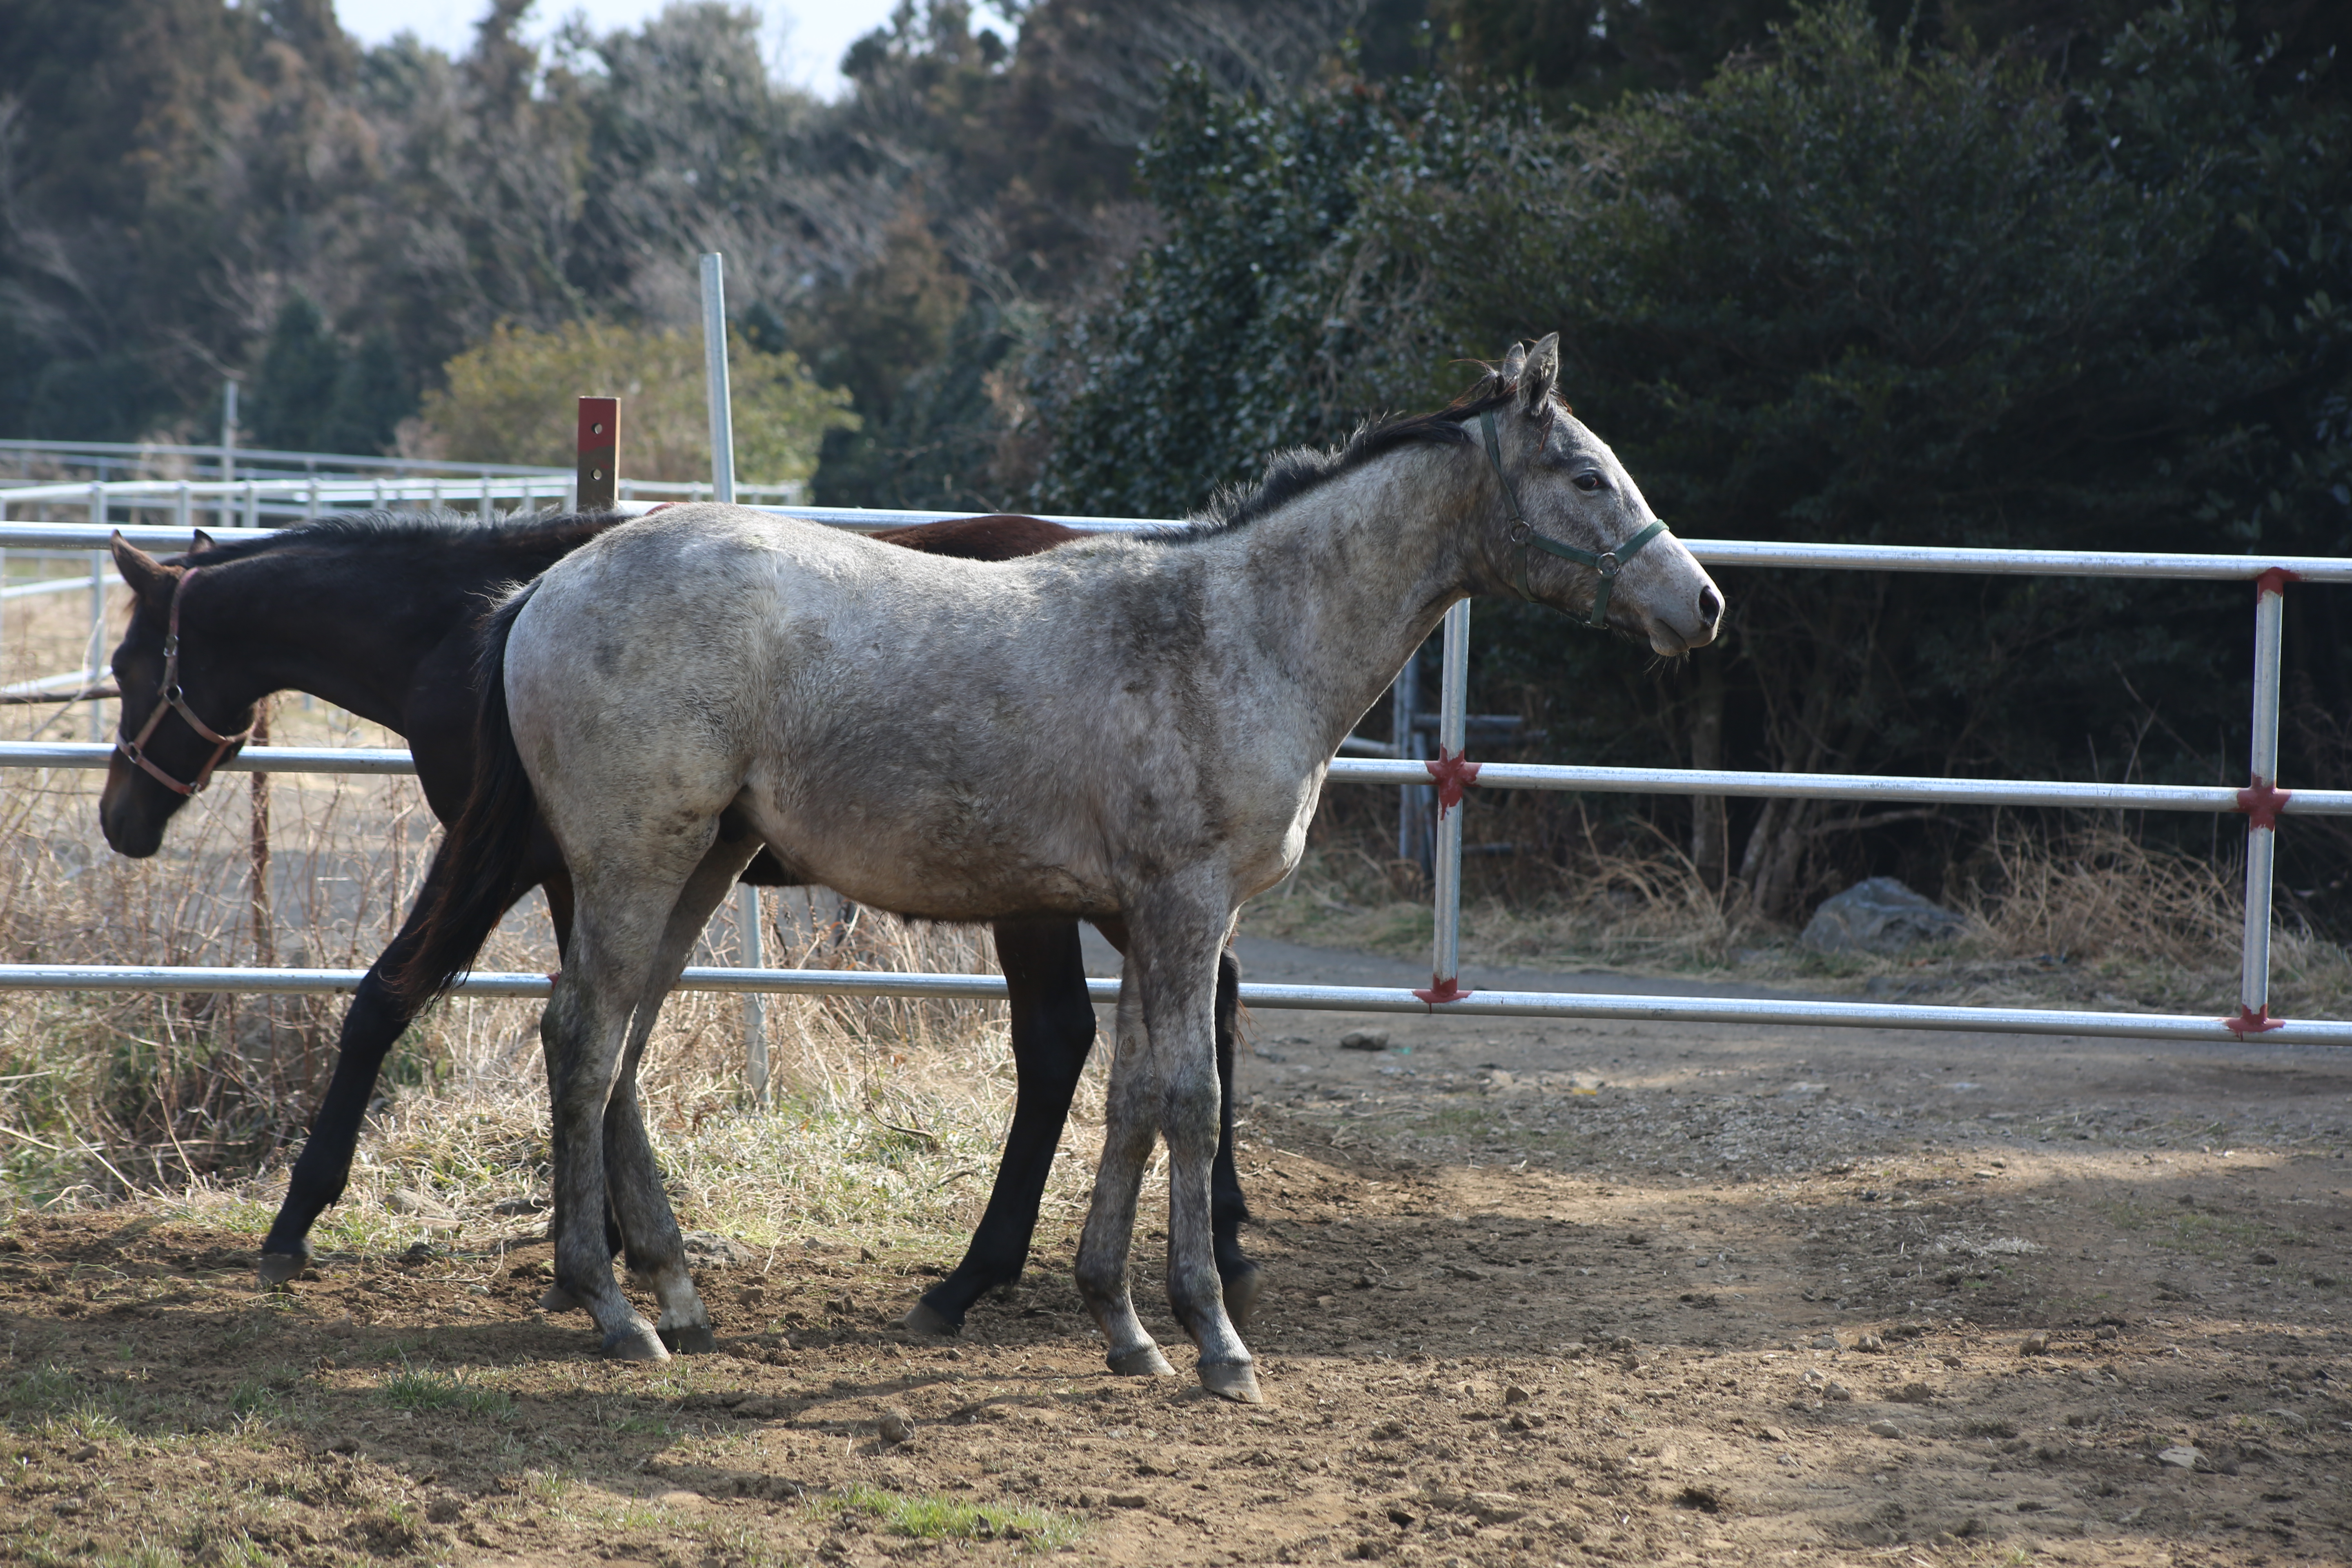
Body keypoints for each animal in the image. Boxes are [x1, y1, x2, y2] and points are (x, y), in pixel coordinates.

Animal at [96, 514, 1251, 1335]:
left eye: (126, 668)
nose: (119, 820)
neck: (464, 626)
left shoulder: (527, 860)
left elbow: (395, 1001)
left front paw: (298, 1222)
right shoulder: (583, 868)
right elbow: (600, 1032)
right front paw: (612, 1245)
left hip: (1039, 902)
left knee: (1059, 1041)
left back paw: (984, 1275)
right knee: (1210, 1004)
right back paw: (1221, 1239)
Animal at [400, 339, 1731, 1401]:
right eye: (1585, 475)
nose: (1705, 604)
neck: (1237, 635)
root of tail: (544, 588)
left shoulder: (1151, 916)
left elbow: (1133, 1099)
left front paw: (1123, 1323)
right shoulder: (1188, 907)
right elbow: (1191, 1100)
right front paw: (1214, 1338)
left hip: (703, 864)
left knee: (618, 1040)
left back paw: (674, 1292)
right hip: (637, 858)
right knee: (582, 1038)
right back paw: (614, 1307)